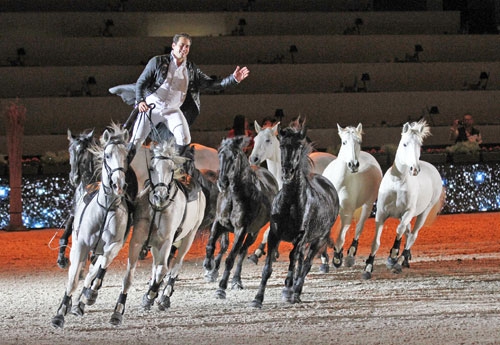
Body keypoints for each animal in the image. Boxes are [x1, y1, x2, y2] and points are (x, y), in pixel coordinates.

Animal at [51, 124, 130, 328]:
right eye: (107, 155)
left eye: (126, 155)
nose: (119, 184)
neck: (106, 208)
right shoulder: (81, 244)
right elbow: (73, 279)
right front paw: (60, 314)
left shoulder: (114, 245)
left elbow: (99, 267)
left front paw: (88, 295)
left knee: (95, 269)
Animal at [110, 138, 206, 324]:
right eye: (153, 168)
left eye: (171, 169)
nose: (160, 196)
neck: (157, 209)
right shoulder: (137, 241)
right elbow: (129, 277)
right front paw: (118, 311)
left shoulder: (167, 242)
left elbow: (163, 270)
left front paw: (151, 296)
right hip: (156, 244)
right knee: (157, 267)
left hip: (189, 237)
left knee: (175, 266)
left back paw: (164, 297)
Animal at [320, 124, 382, 268]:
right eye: (344, 142)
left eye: (359, 142)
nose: (353, 165)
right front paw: (324, 257)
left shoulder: (347, 213)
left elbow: (340, 237)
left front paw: (337, 258)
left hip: (368, 205)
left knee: (358, 228)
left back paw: (350, 255)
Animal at [362, 119, 444, 278]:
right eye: (405, 144)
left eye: (419, 145)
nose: (415, 169)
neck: (397, 183)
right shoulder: (381, 213)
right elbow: (376, 242)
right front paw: (368, 267)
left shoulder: (408, 212)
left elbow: (399, 230)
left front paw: (392, 257)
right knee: (408, 232)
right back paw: (405, 260)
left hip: (424, 212)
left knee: (412, 235)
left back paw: (399, 262)